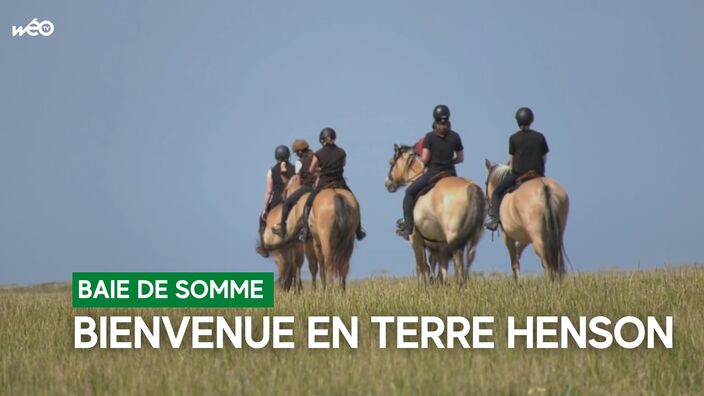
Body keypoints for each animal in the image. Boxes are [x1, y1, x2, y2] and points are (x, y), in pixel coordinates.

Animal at [384, 144, 484, 284]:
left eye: (391, 162)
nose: (387, 183)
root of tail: (470, 187)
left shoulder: (416, 239)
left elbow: (422, 265)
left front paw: (424, 285)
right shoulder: (438, 245)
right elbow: (439, 266)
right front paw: (438, 283)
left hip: (452, 236)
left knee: (457, 259)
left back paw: (458, 284)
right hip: (475, 235)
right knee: (469, 257)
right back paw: (463, 283)